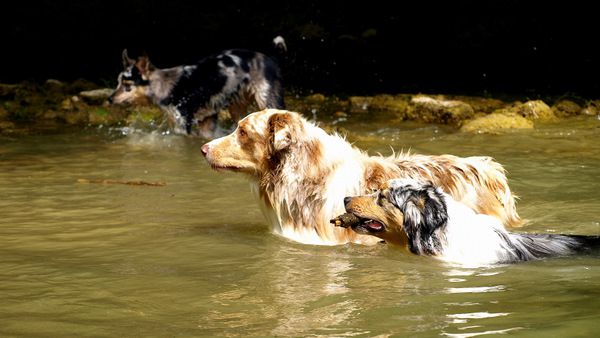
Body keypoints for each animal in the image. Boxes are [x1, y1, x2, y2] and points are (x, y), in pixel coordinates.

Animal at [109, 37, 288, 137]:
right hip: (237, 107)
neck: (164, 85)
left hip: (267, 99)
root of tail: (270, 58)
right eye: (117, 82)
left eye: (127, 85)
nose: (109, 99)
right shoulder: (205, 122)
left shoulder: (183, 124)